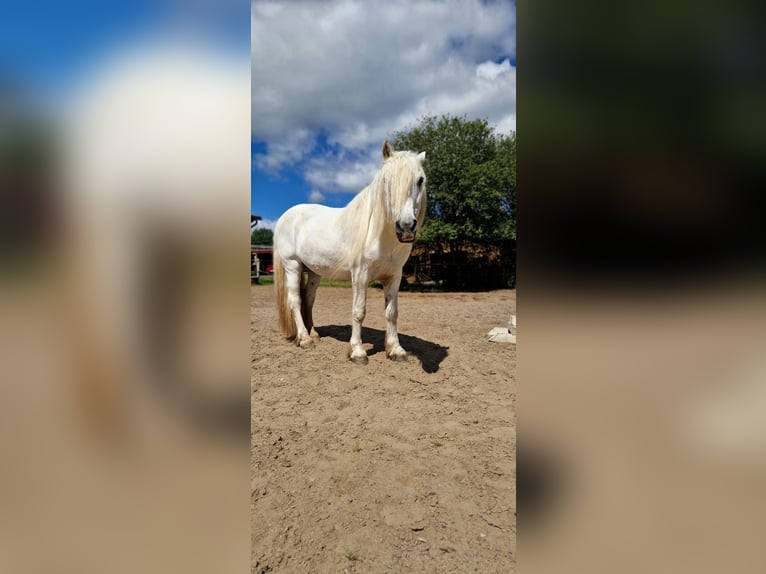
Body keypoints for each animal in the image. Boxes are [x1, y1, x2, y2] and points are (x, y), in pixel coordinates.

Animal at [273, 140, 427, 364]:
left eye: (420, 180)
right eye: (386, 180)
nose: (406, 227)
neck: (379, 236)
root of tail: (286, 216)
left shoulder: (394, 276)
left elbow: (392, 313)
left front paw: (396, 350)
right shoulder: (360, 275)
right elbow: (359, 311)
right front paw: (357, 352)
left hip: (314, 272)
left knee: (308, 299)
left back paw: (314, 334)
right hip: (292, 265)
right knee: (295, 301)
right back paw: (304, 339)